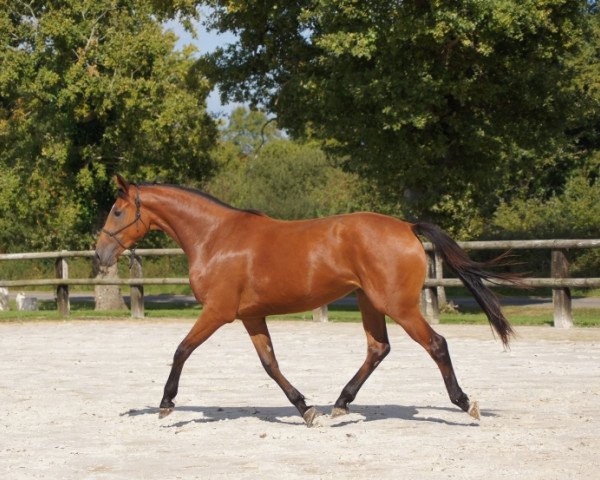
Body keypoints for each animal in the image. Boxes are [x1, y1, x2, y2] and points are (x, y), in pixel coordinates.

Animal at [96, 174, 516, 426]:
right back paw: (340, 403)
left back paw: (465, 402)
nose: (99, 254)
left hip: (398, 306)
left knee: (436, 344)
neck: (215, 237)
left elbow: (182, 350)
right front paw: (306, 408)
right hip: (369, 302)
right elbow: (270, 364)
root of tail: (407, 227)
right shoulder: (251, 317)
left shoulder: (218, 312)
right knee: (378, 348)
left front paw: (166, 404)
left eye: (116, 211)